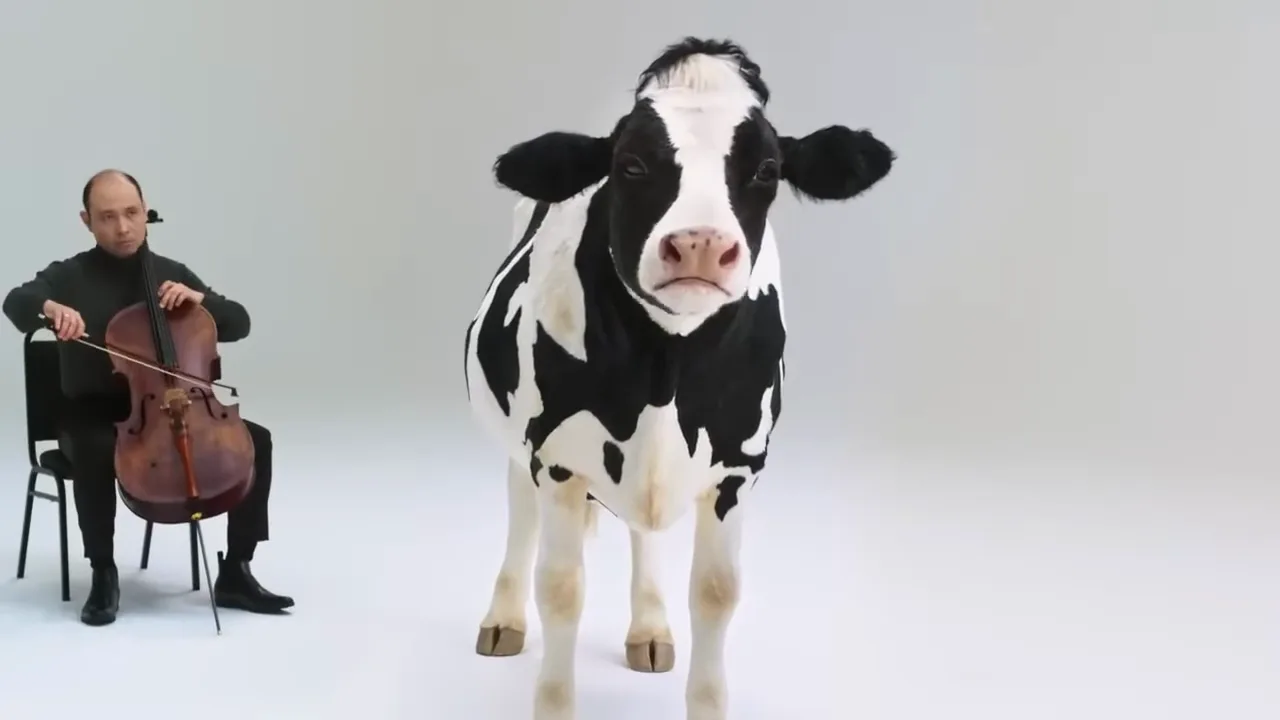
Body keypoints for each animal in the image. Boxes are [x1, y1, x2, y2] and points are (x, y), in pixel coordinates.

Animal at [462, 37, 895, 719]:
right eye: (631, 164)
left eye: (766, 169)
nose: (699, 244)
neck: (665, 371)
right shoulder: (556, 459)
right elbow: (560, 587)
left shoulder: (737, 469)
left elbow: (716, 591)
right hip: (517, 442)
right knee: (519, 513)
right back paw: (503, 620)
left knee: (644, 535)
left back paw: (649, 630)